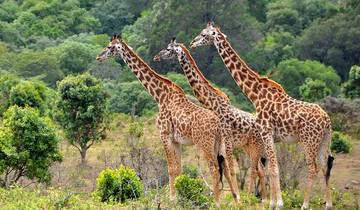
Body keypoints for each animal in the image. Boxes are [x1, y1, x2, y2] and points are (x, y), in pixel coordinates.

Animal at [95, 33, 238, 206]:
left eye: (109, 47)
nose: (98, 56)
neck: (159, 96)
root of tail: (218, 125)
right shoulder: (176, 140)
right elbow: (179, 169)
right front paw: (181, 197)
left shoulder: (164, 134)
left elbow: (170, 168)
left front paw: (171, 199)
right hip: (220, 143)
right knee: (227, 168)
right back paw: (234, 200)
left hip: (204, 144)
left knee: (214, 168)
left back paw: (217, 202)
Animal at [153, 38, 266, 201]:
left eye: (168, 49)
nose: (156, 57)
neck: (212, 102)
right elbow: (224, 170)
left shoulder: (224, 141)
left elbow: (228, 170)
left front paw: (235, 198)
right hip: (249, 147)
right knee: (260, 169)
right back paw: (262, 198)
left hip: (253, 146)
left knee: (254, 170)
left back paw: (253, 197)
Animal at [190, 22, 334, 209]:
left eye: (203, 34)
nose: (192, 43)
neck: (255, 95)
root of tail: (327, 121)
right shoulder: (268, 136)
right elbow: (269, 168)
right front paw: (272, 203)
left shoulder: (266, 132)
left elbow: (272, 168)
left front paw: (278, 204)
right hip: (324, 141)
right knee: (324, 166)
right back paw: (328, 204)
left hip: (309, 140)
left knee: (312, 167)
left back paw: (304, 205)